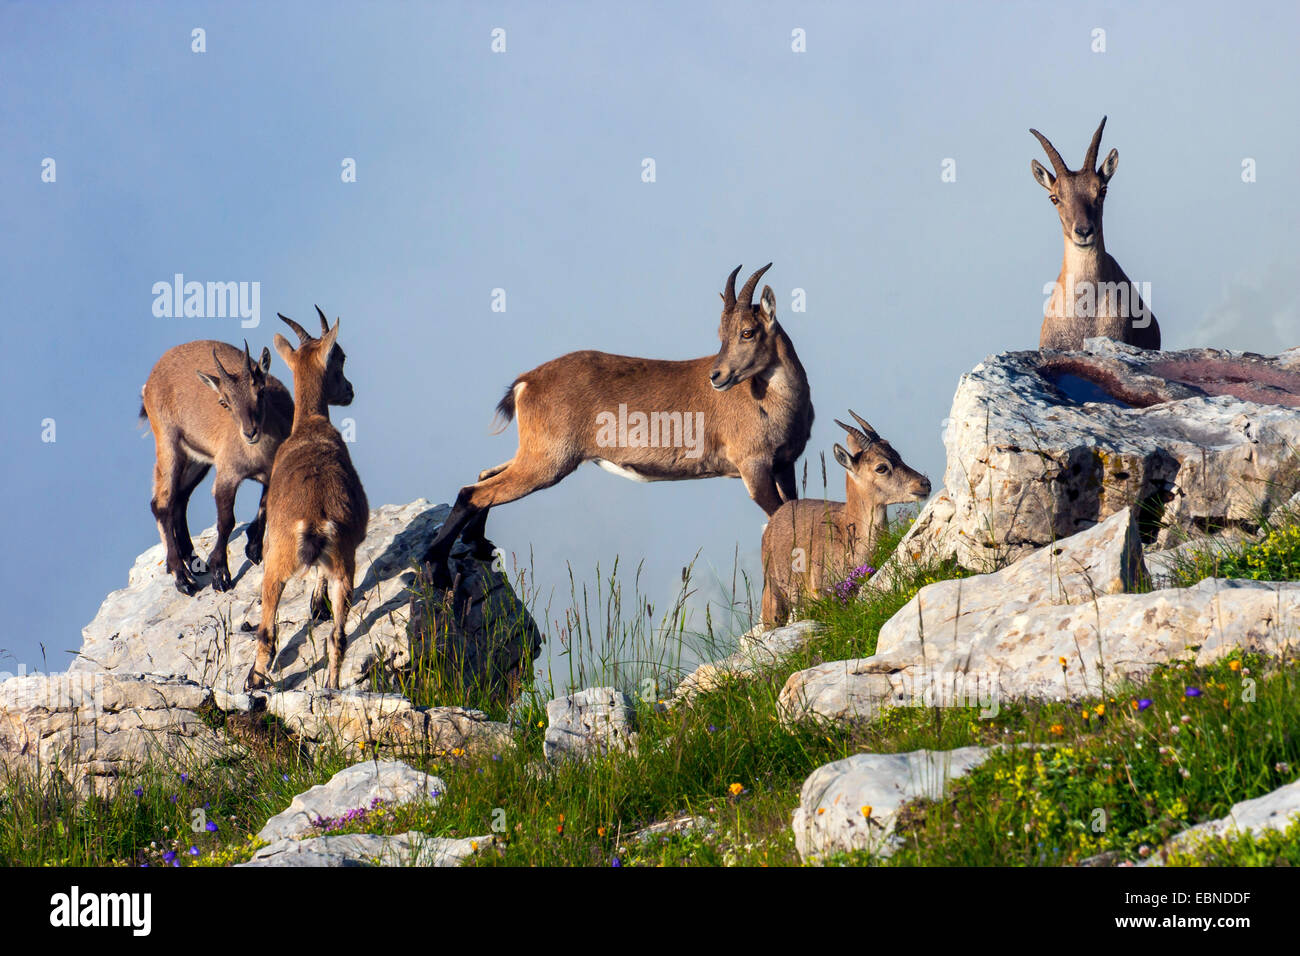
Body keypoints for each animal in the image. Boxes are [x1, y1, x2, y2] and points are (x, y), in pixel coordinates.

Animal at [140, 308, 354, 595]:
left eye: (260, 392)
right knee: (162, 502)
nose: (349, 390)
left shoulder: (271, 472)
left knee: (180, 498)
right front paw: (221, 574)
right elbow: (226, 521)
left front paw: (252, 548)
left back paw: (193, 560)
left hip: (197, 457)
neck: (258, 453)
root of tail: (150, 379)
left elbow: (263, 507)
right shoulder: (227, 476)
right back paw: (181, 576)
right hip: (167, 441)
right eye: (224, 402)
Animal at [246, 313, 368, 691]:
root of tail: (313, 523)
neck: (309, 426)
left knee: (268, 632)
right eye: (340, 358)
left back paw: (256, 681)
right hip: (341, 566)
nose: (350, 390)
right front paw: (317, 605)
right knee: (337, 636)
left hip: (276, 565)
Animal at [420, 264, 814, 587]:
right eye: (722, 334)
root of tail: (524, 383)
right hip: (548, 460)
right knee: (472, 492)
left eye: (746, 332)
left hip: (535, 453)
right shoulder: (753, 465)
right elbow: (779, 518)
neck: (774, 402)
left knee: (485, 476)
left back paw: (479, 546)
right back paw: (437, 568)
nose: (717, 376)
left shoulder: (784, 464)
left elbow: (792, 511)